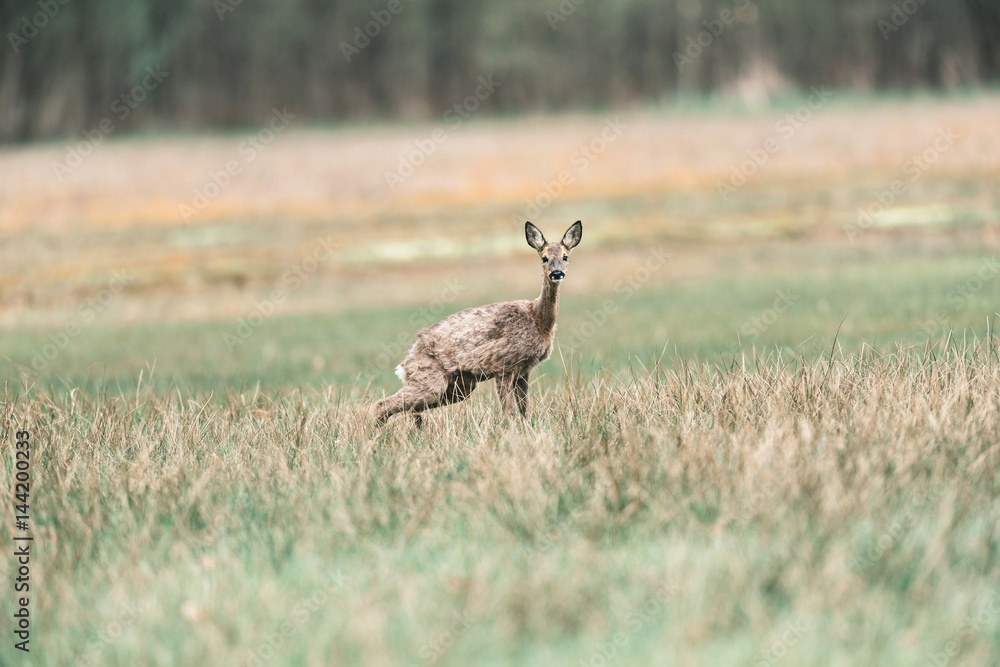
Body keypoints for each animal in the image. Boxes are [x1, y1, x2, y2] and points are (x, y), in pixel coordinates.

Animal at [376, 220, 584, 428]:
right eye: (544, 258)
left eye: (565, 256)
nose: (557, 273)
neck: (537, 319)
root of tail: (406, 361)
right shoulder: (503, 364)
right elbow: (509, 411)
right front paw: (510, 431)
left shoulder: (524, 370)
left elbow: (525, 409)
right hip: (431, 382)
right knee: (382, 405)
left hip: (459, 387)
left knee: (410, 410)